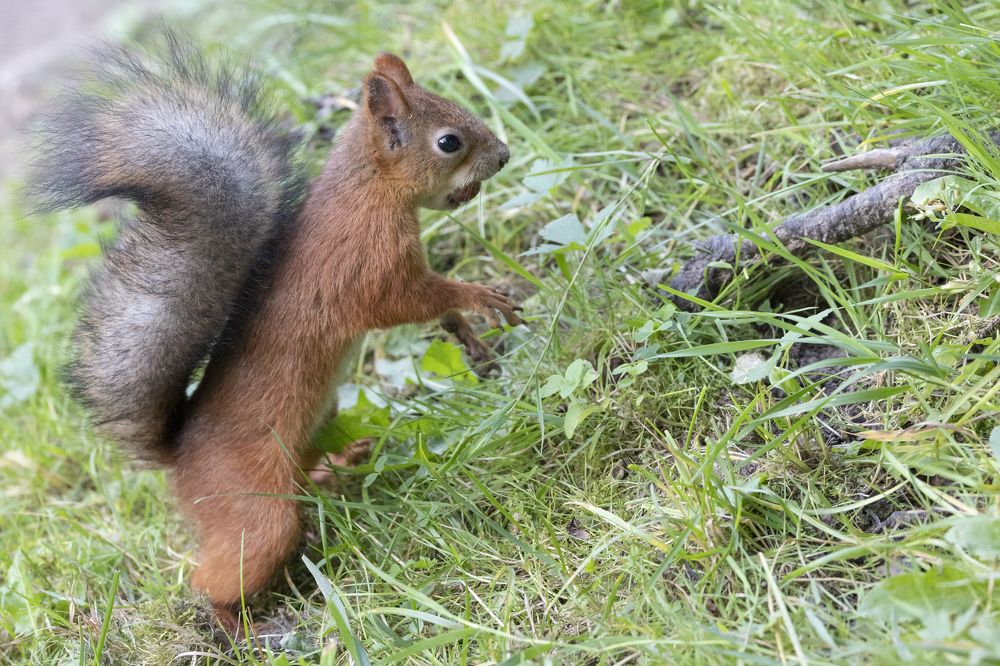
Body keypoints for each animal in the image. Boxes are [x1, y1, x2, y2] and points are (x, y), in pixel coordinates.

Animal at [30, 34, 522, 632]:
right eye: (449, 142)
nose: (504, 155)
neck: (371, 187)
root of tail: (179, 459)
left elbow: (436, 311)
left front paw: (470, 337)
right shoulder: (367, 266)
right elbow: (407, 301)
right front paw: (480, 297)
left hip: (315, 425)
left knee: (305, 478)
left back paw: (342, 464)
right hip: (255, 512)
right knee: (216, 577)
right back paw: (241, 629)